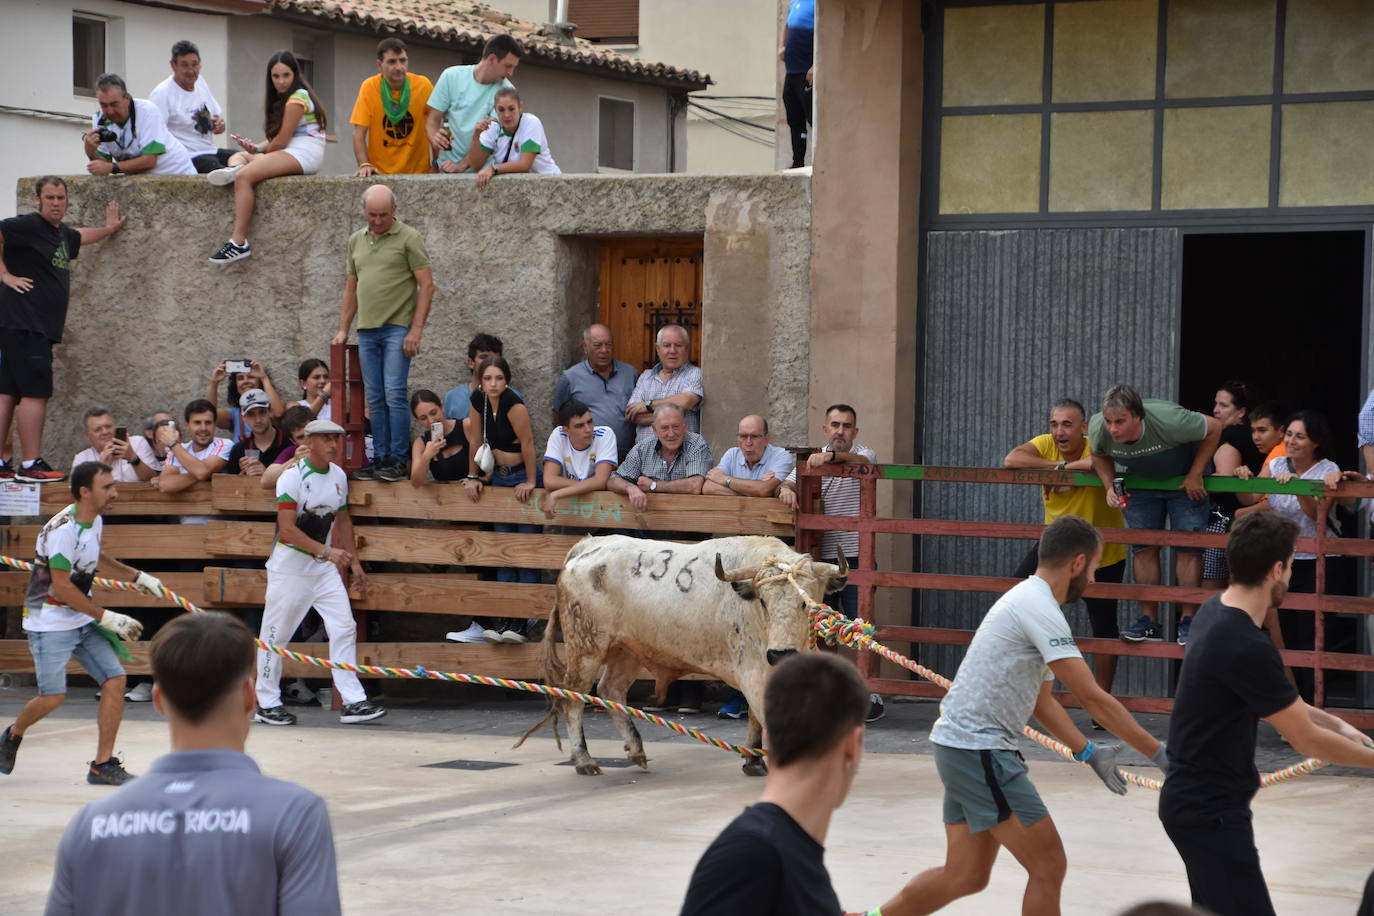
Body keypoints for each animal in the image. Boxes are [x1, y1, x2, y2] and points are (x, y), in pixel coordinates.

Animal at [527, 532, 840, 780]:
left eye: (804, 602)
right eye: (763, 600)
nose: (780, 653)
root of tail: (590, 545)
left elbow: (755, 714)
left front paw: (753, 760)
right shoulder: (751, 667)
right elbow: (762, 712)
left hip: (627, 650)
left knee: (610, 689)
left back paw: (636, 750)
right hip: (586, 648)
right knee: (573, 698)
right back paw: (584, 760)